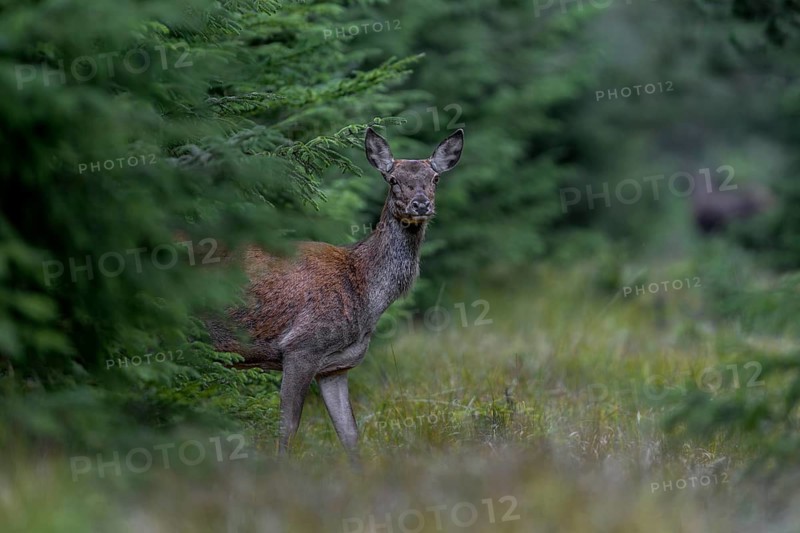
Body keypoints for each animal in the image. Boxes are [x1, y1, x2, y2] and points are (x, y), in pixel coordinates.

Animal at [206, 127, 464, 458]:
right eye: (392, 179)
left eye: (435, 178)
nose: (420, 205)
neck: (364, 293)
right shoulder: (301, 347)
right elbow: (287, 429)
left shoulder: (336, 366)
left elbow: (350, 434)